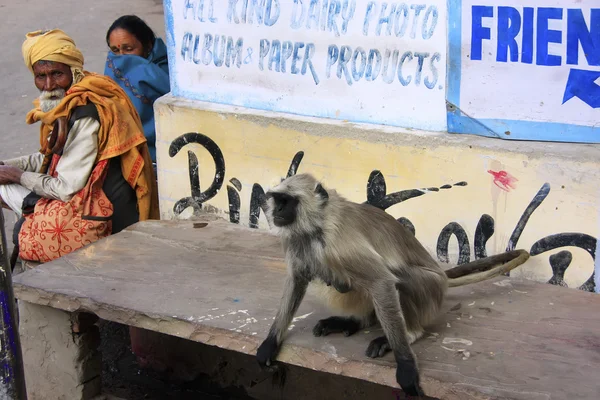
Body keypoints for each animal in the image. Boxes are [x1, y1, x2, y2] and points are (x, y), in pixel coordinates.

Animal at [255, 173, 528, 398]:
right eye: (277, 199)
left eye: (288, 201)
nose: (277, 210)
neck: (317, 225)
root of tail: (441, 276)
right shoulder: (295, 239)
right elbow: (297, 279)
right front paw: (270, 343)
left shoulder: (339, 243)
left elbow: (382, 281)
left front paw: (405, 365)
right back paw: (356, 321)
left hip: (431, 291)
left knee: (399, 278)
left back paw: (409, 333)